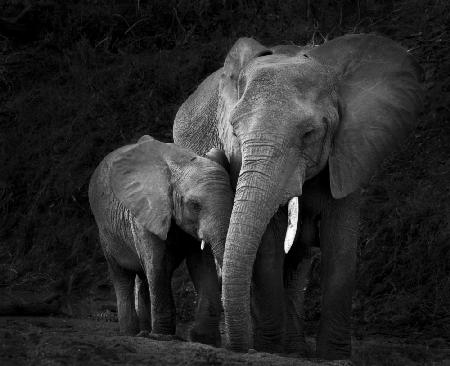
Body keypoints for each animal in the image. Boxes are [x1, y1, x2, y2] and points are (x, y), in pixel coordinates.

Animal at [89, 136, 234, 348]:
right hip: (106, 234)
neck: (179, 164)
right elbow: (157, 265)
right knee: (123, 276)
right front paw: (164, 337)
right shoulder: (145, 211)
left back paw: (144, 332)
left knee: (144, 278)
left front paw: (205, 340)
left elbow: (201, 265)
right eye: (194, 205)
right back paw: (131, 333)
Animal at [172, 33, 422, 358]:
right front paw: (269, 349)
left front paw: (333, 356)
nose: (245, 348)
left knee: (297, 261)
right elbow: (269, 244)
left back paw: (294, 347)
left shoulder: (349, 152)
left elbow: (340, 243)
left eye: (309, 134)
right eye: (234, 134)